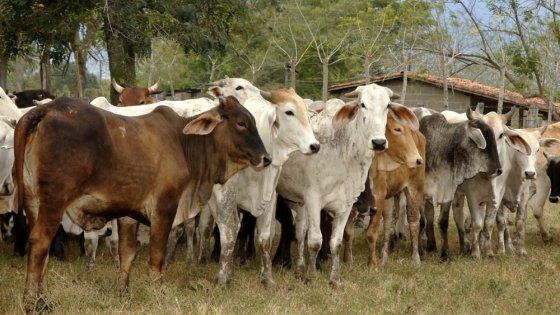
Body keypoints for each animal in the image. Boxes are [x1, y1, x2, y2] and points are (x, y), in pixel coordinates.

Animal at [15, 95, 272, 312]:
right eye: (241, 123)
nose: (267, 158)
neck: (183, 143)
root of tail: (46, 109)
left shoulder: (128, 213)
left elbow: (127, 253)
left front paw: (122, 291)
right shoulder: (165, 206)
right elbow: (156, 253)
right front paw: (159, 291)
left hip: (33, 202)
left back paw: (43, 298)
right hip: (54, 202)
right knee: (40, 243)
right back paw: (32, 302)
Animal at [276, 84, 416, 288]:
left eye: (388, 106)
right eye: (362, 104)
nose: (378, 142)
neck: (344, 154)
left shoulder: (346, 204)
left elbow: (336, 242)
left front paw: (335, 279)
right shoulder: (313, 200)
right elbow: (315, 241)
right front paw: (312, 276)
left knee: (300, 231)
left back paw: (300, 268)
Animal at [344, 112, 426, 268]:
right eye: (397, 129)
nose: (417, 160)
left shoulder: (378, 197)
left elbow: (371, 233)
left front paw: (371, 265)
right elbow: (347, 232)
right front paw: (349, 261)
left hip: (414, 187)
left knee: (413, 220)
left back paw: (416, 257)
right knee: (389, 221)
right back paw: (384, 256)